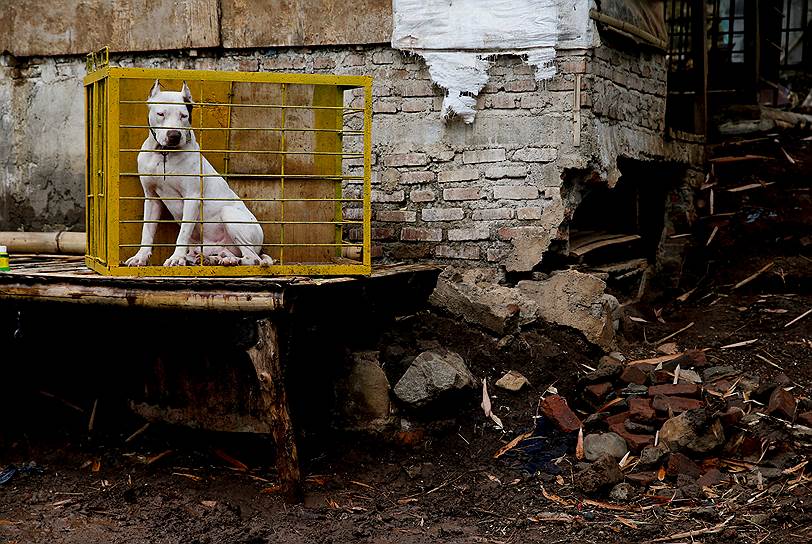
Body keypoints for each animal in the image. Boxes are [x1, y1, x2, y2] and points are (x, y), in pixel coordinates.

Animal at [124, 79, 276, 266]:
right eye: (161, 114)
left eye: (184, 115)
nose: (174, 135)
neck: (164, 154)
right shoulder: (151, 197)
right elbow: (147, 229)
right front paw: (141, 256)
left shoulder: (192, 197)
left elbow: (183, 232)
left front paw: (176, 258)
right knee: (221, 252)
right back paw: (214, 258)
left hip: (229, 214)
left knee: (252, 258)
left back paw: (229, 260)